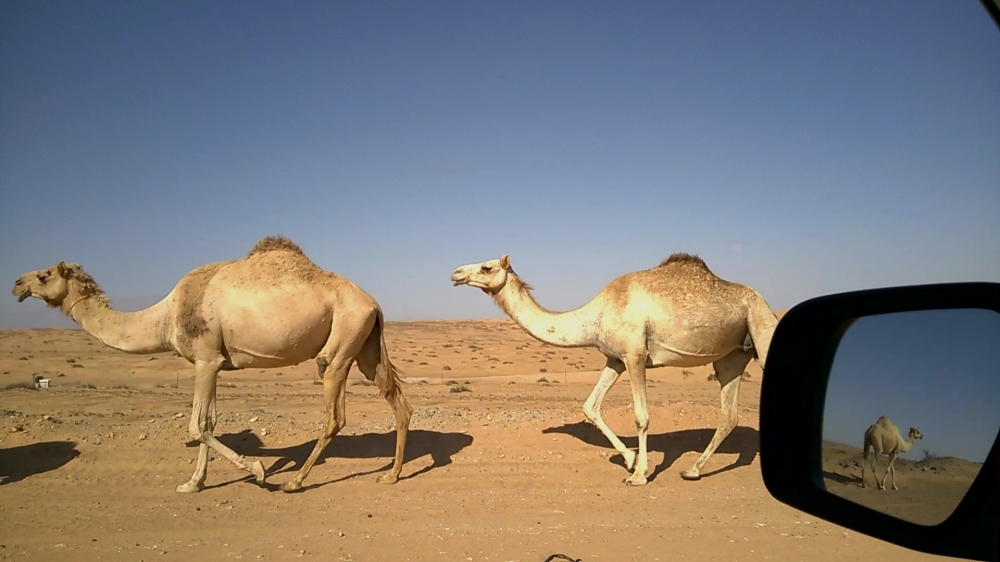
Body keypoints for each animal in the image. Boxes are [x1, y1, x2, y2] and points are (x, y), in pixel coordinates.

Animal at [11, 235, 412, 494]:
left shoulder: (204, 358)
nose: (16, 284)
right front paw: (193, 483)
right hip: (365, 342)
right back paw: (391, 475)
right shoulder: (216, 363)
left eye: (44, 275)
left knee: (334, 412)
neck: (166, 314)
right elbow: (210, 422)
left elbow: (196, 425)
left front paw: (258, 470)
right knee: (396, 401)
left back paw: (294, 482)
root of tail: (374, 302)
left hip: (343, 339)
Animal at [451, 252, 778, 485]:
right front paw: (629, 459)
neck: (593, 317)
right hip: (732, 356)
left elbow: (641, 417)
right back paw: (692, 471)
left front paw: (639, 475)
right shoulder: (615, 359)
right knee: (729, 415)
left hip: (762, 328)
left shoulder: (635, 355)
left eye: (487, 267)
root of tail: (765, 303)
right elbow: (590, 406)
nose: (456, 273)